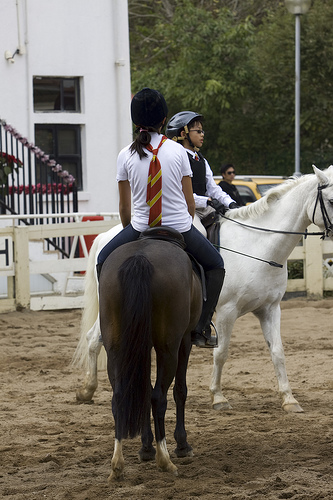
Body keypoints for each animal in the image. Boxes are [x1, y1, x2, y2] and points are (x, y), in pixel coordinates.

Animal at [72, 166, 332, 412]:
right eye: (330, 200)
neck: (258, 247)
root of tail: (107, 235)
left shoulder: (270, 309)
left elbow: (278, 352)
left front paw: (289, 400)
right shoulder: (228, 311)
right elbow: (222, 353)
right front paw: (218, 397)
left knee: (97, 338)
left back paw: (91, 391)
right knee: (97, 339)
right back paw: (93, 390)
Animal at [98, 234, 202, 480]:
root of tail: (140, 258)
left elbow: (142, 391)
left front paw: (145, 447)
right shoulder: (184, 341)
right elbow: (180, 390)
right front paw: (182, 445)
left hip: (116, 348)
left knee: (119, 396)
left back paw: (117, 464)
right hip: (168, 348)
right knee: (158, 397)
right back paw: (165, 460)